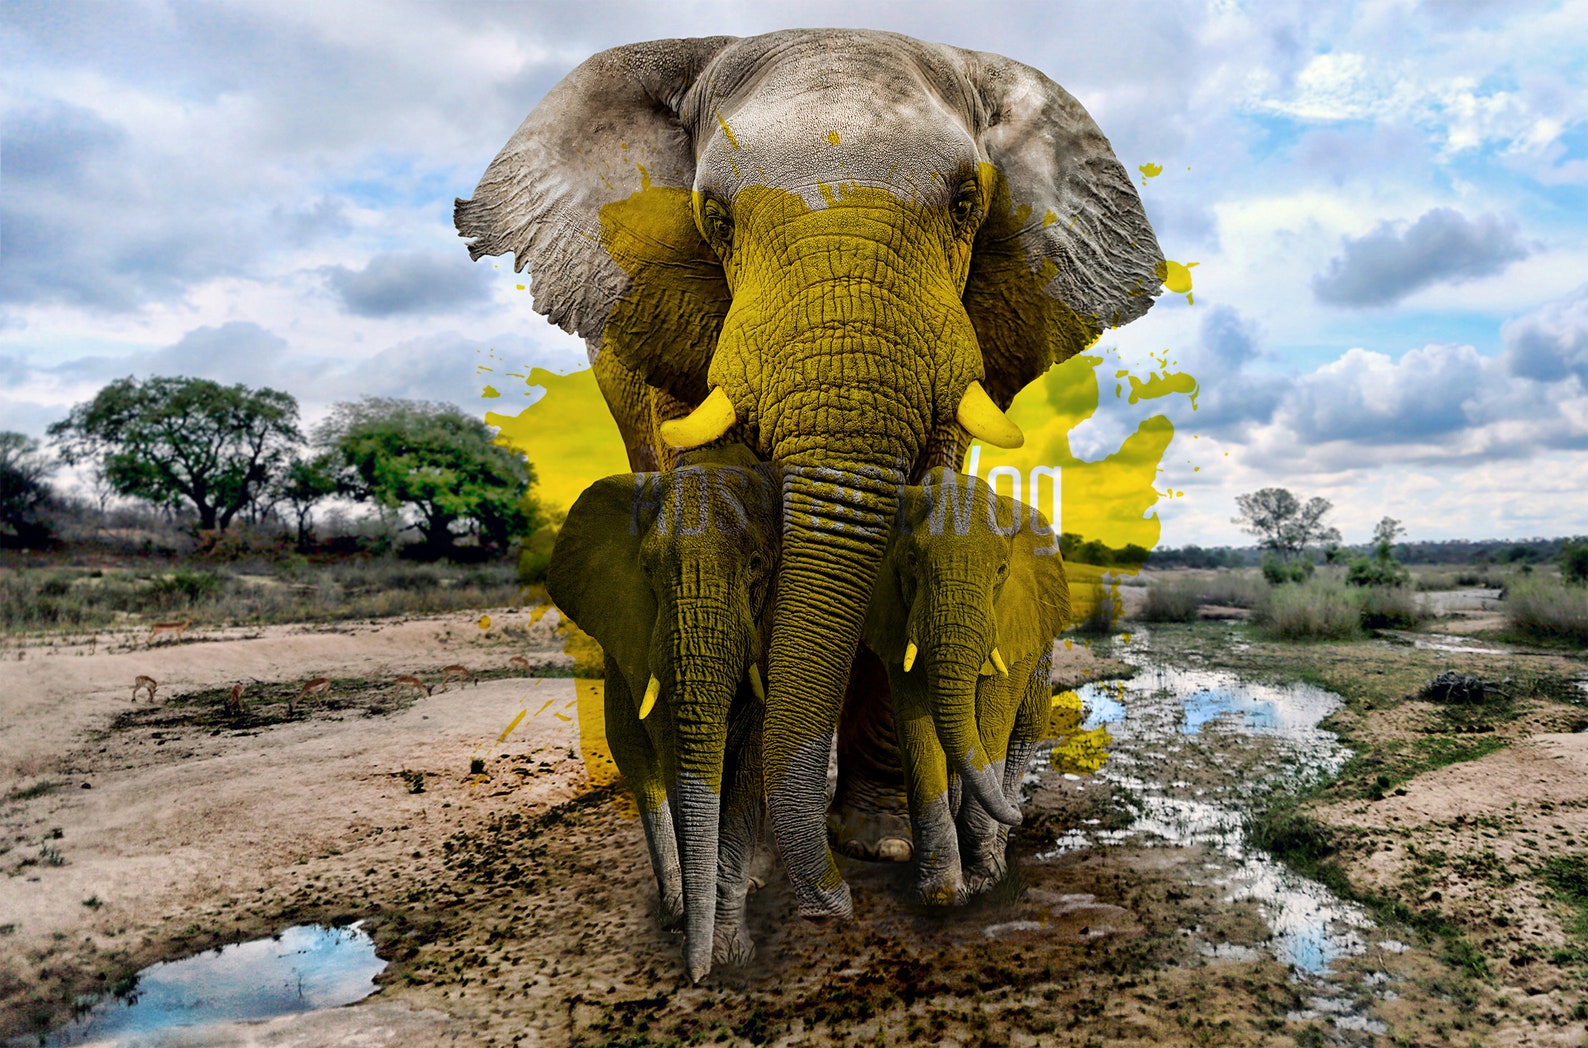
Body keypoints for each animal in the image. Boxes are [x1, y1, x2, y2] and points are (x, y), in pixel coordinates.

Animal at [546, 448, 777, 982]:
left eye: (756, 565)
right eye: (647, 571)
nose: (694, 978)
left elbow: (748, 763)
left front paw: (729, 953)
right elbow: (672, 754)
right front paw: (710, 943)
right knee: (639, 763)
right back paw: (676, 911)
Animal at [862, 469, 1069, 905]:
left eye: (1002, 570)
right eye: (911, 561)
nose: (1022, 816)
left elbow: (991, 723)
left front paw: (984, 881)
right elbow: (918, 732)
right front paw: (940, 896)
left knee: (1025, 730)